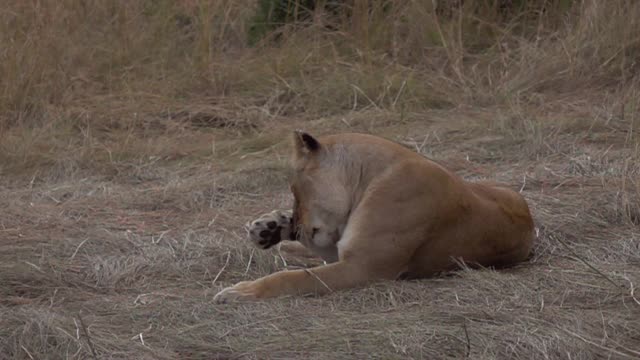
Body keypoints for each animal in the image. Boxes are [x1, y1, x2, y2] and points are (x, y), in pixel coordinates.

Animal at [214, 131, 536, 302]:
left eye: (295, 189)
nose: (298, 225)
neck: (366, 179)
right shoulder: (348, 252)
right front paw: (271, 225)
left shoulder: (363, 268)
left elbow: (291, 278)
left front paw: (241, 291)